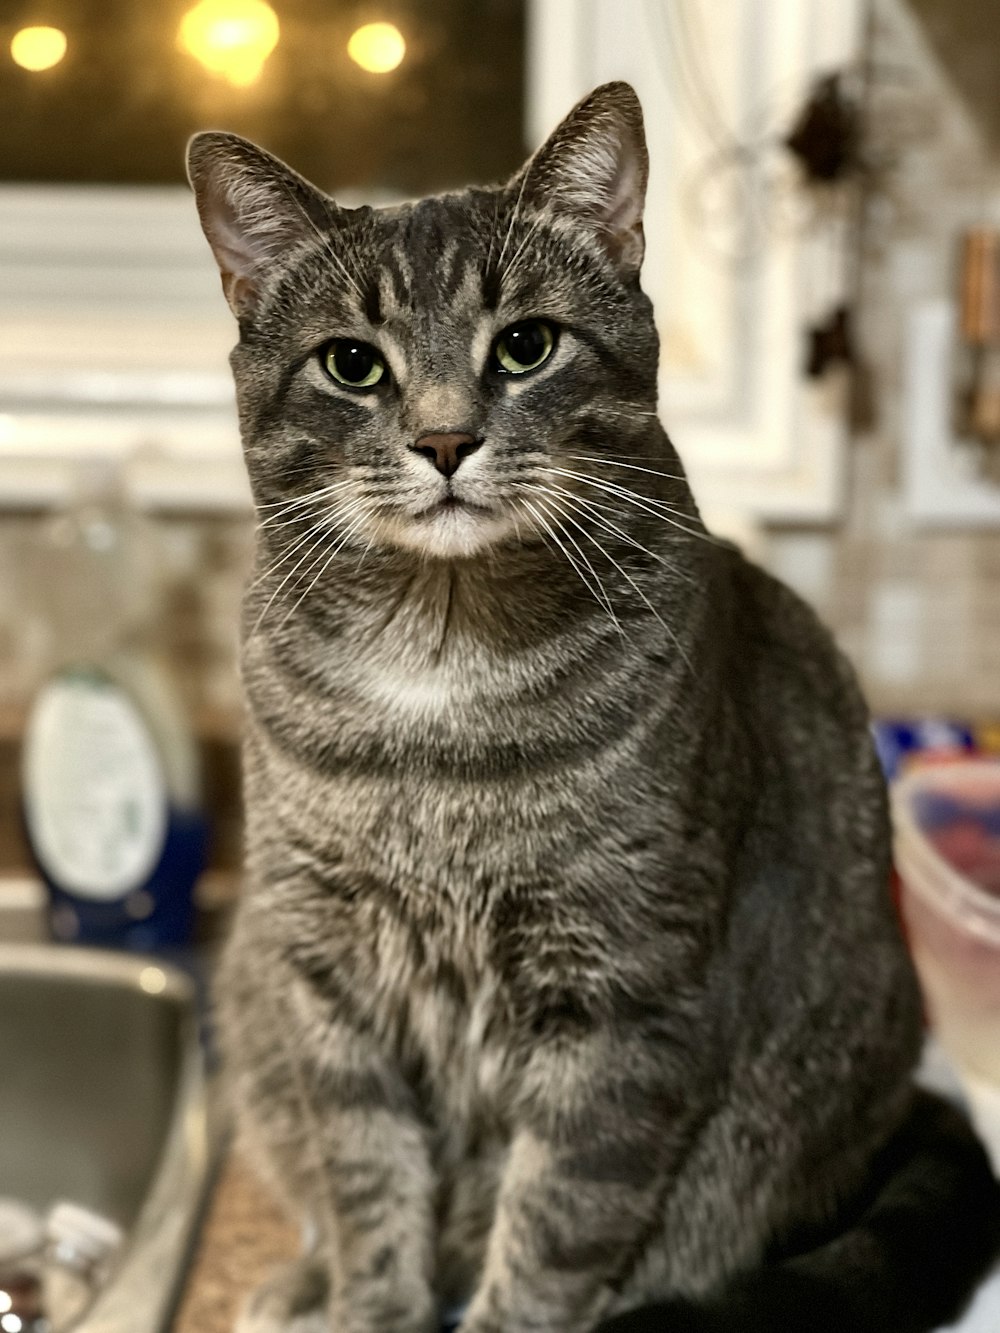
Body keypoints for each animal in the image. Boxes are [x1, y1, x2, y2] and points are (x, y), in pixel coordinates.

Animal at [189, 83, 1000, 1333]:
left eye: (525, 345)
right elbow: (370, 1190)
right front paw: (365, 1300)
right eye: (351, 365)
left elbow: (552, 1229)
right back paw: (297, 1286)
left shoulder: (619, 995)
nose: (442, 438)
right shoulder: (333, 984)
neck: (441, 659)